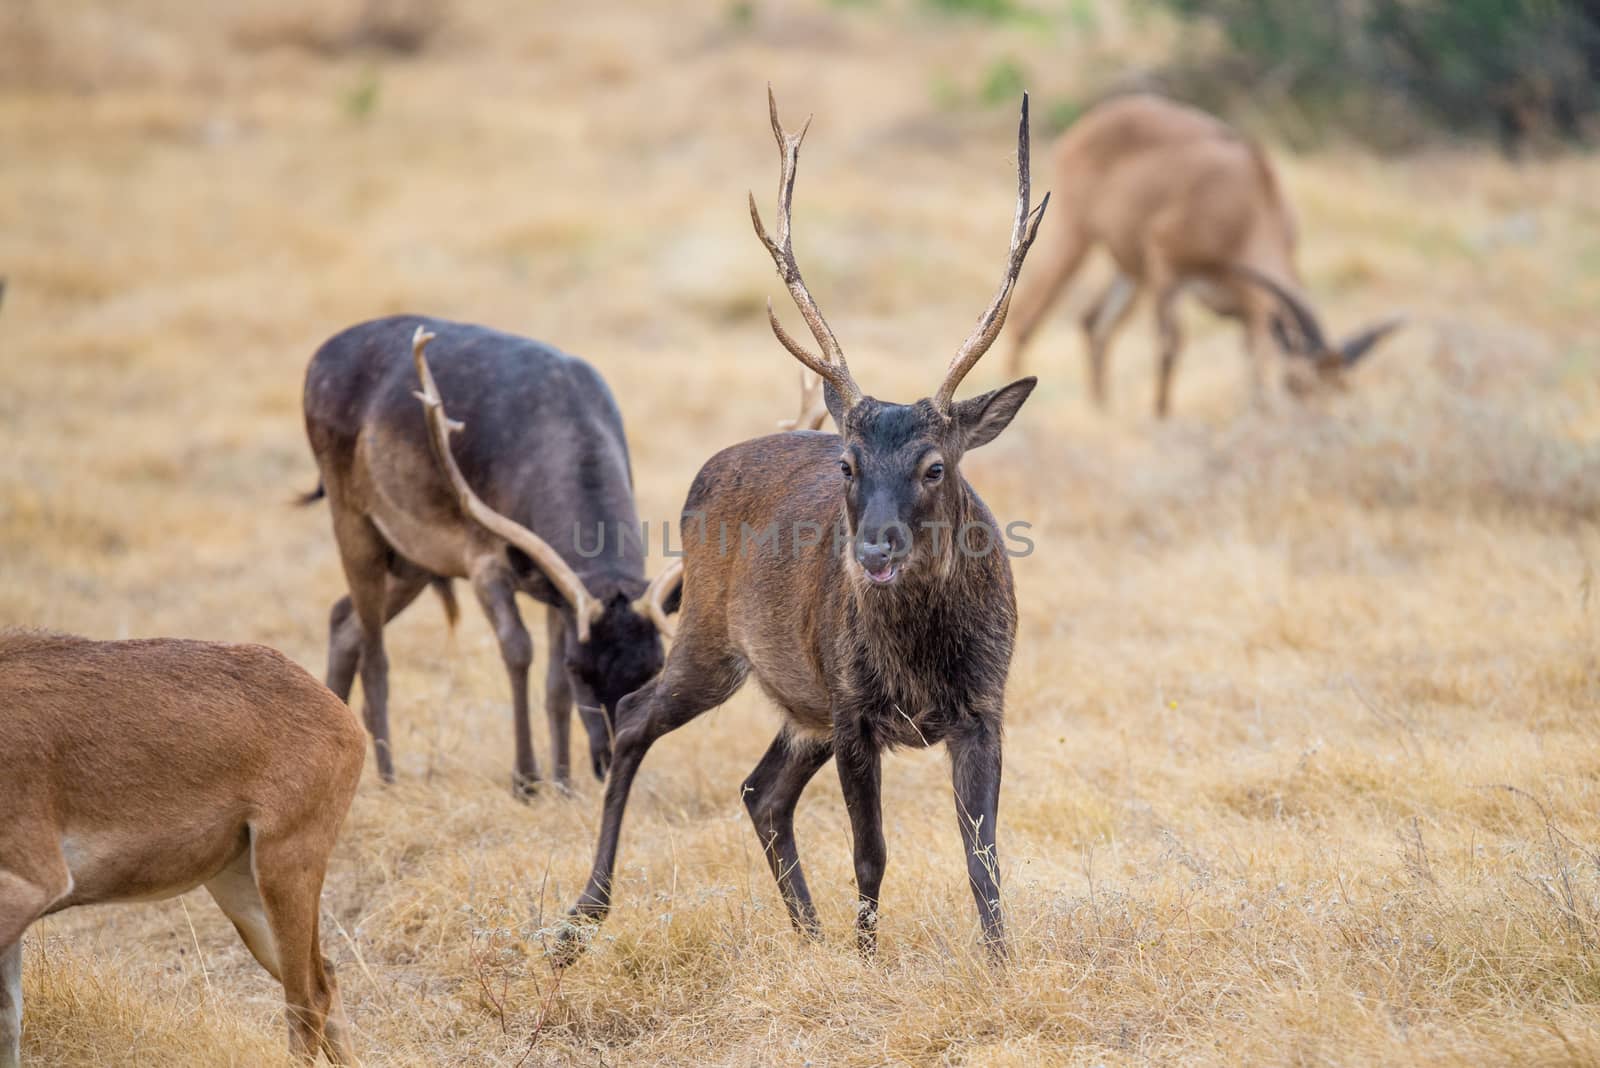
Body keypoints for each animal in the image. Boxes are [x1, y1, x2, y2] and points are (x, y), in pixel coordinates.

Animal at [0, 629, 366, 1061]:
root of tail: (338, 712)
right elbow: (10, 1024)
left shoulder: (33, 884)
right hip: (242, 890)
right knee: (326, 974)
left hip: (285, 869)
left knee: (309, 1000)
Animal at [302, 316, 678, 793]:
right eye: (580, 668)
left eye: (655, 667)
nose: (608, 760)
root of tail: (316, 358)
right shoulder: (484, 559)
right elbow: (518, 650)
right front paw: (526, 779)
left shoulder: (557, 589)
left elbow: (553, 687)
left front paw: (562, 782)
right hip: (350, 513)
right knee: (374, 653)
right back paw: (388, 776)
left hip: (412, 559)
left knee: (341, 618)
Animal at [547, 89, 1049, 959]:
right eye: (847, 465)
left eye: (935, 467)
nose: (874, 549)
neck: (921, 659)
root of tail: (709, 469)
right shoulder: (851, 707)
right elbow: (870, 851)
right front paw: (870, 961)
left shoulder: (986, 701)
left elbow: (982, 855)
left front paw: (999, 964)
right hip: (713, 636)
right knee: (638, 720)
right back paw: (585, 915)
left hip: (797, 696)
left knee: (760, 789)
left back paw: (807, 932)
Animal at [1011, 93, 1401, 415]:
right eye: (1296, 382)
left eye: (1343, 388)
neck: (1248, 199)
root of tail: (1090, 123)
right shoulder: (1165, 262)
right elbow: (1170, 347)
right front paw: (1162, 418)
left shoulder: (1244, 307)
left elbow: (1251, 360)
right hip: (1075, 237)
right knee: (1027, 318)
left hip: (1130, 272)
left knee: (1094, 323)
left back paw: (1103, 409)